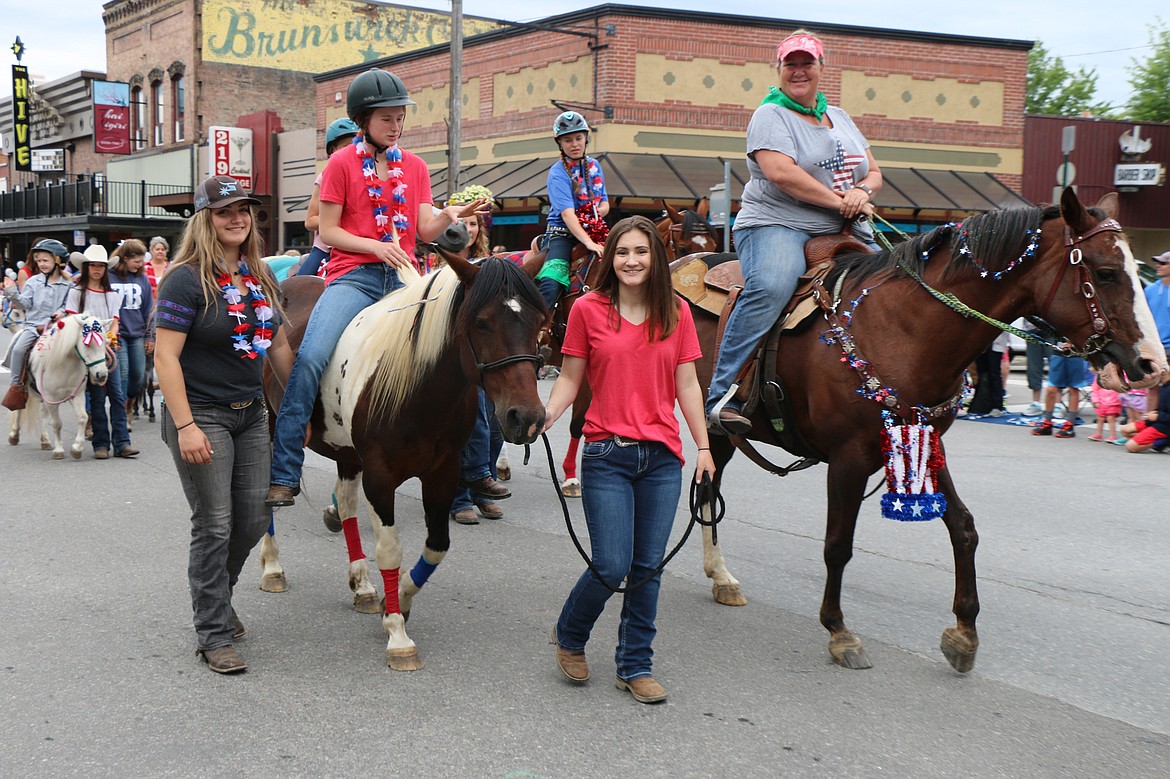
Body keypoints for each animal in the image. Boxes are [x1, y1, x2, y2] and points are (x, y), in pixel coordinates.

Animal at [6, 313, 110, 458]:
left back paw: (45, 440)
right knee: (19, 409)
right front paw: (59, 450)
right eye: (87, 344)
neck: (65, 365)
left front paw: (77, 448)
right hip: (23, 387)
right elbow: (57, 423)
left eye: (105, 342)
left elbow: (83, 417)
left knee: (42, 415)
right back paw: (14, 435)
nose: (101, 375)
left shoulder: (76, 395)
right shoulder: (51, 398)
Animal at [263, 253, 545, 669]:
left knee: (345, 505)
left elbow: (437, 546)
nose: (526, 418)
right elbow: (390, 550)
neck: (419, 387)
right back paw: (272, 566)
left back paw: (362, 585)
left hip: (347, 454)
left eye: (539, 322)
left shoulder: (444, 473)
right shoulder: (380, 476)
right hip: (268, 425)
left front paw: (395, 601)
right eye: (481, 322)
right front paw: (397, 633)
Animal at [687, 188, 1165, 669]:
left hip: (720, 435)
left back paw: (721, 577)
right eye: (1105, 273)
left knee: (709, 486)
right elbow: (838, 544)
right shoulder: (849, 457)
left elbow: (964, 528)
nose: (1152, 366)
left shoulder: (927, 443)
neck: (903, 329)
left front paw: (964, 632)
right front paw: (839, 631)